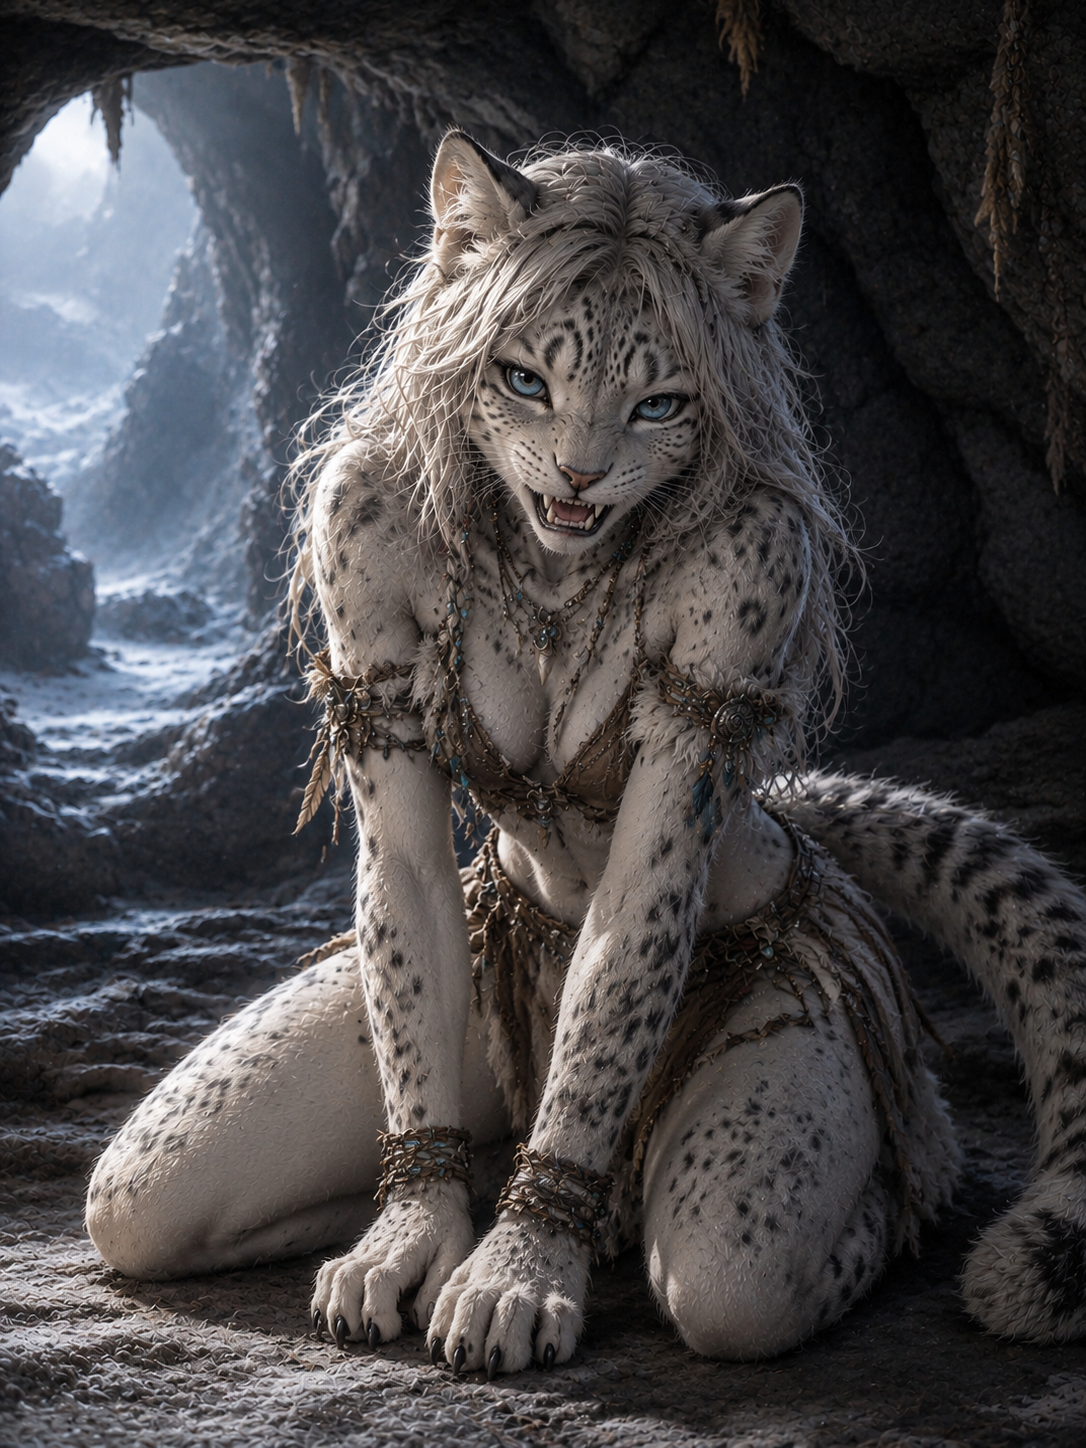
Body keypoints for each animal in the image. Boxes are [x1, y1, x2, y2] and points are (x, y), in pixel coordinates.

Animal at [86, 131, 1086, 1372]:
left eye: (660, 401)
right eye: (526, 378)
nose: (576, 476)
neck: (556, 571)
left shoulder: (747, 588)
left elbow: (622, 977)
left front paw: (517, 1268)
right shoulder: (362, 566)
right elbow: (402, 904)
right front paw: (415, 1232)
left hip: (788, 1042)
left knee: (735, 1263)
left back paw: (919, 1173)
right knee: (148, 1186)